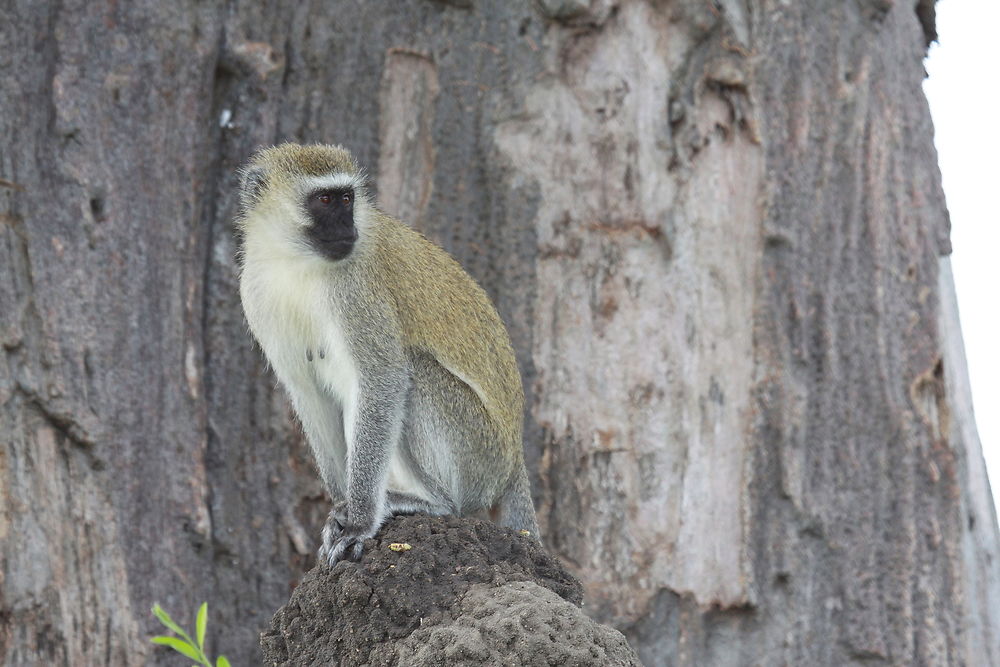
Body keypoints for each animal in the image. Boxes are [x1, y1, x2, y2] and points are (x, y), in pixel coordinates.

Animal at [235, 145, 540, 564]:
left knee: (417, 374)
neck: (297, 263)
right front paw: (343, 507)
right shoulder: (255, 291)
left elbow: (384, 380)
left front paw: (360, 520)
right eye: (325, 200)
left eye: (347, 199)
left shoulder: (357, 289)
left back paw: (436, 503)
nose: (347, 229)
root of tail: (514, 461)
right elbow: (309, 393)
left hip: (480, 456)